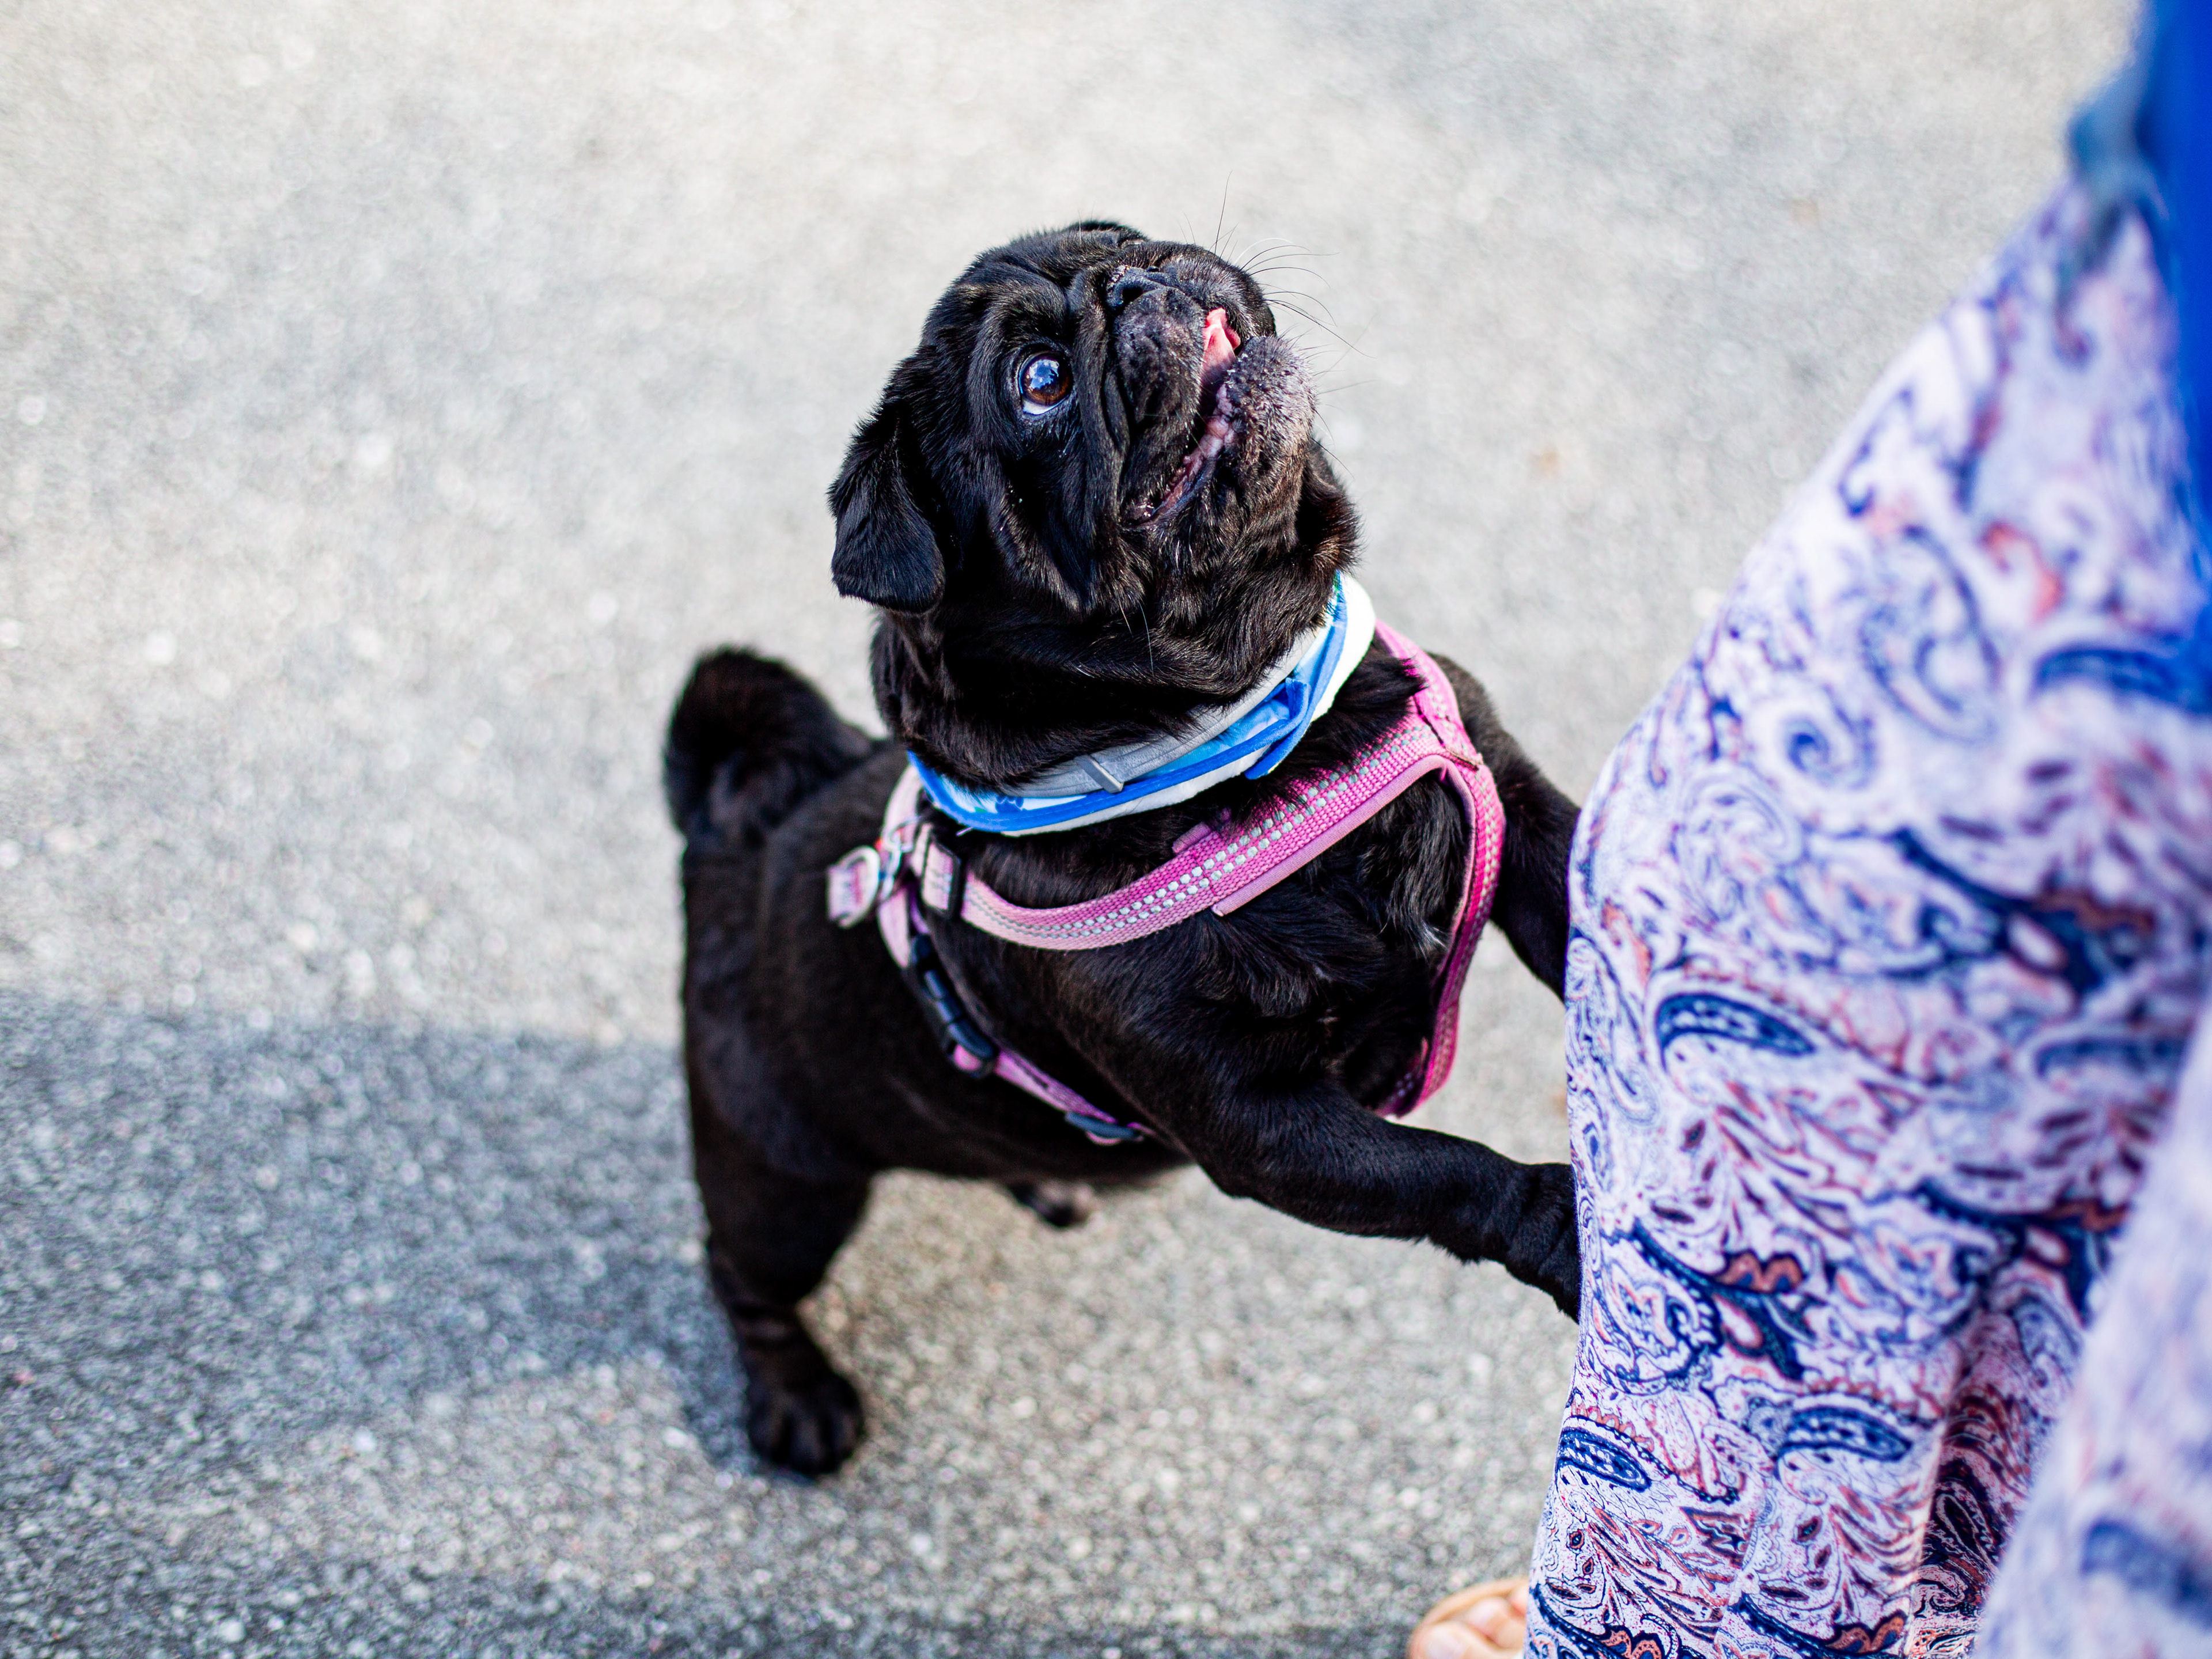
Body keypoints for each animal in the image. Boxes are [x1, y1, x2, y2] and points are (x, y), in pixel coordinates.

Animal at [665, 223, 1581, 1476]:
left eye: (1118, 238)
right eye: (1041, 383)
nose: (1139, 280)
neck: (1243, 734)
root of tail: (736, 838)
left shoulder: (1521, 819)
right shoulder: (1261, 1121)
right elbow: (1449, 1173)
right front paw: (1566, 1224)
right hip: (789, 1188)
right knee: (741, 1273)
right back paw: (795, 1398)